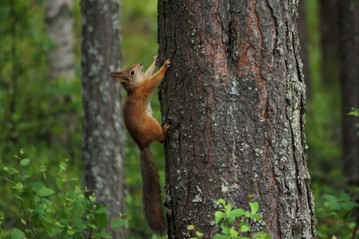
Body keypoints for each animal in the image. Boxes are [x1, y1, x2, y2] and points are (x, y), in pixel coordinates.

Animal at [109, 57, 171, 233]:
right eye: (131, 72)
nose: (139, 64)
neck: (135, 87)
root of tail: (142, 145)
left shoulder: (144, 80)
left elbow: (149, 72)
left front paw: (155, 60)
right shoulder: (146, 86)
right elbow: (155, 79)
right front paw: (164, 67)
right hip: (151, 124)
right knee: (161, 139)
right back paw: (165, 131)